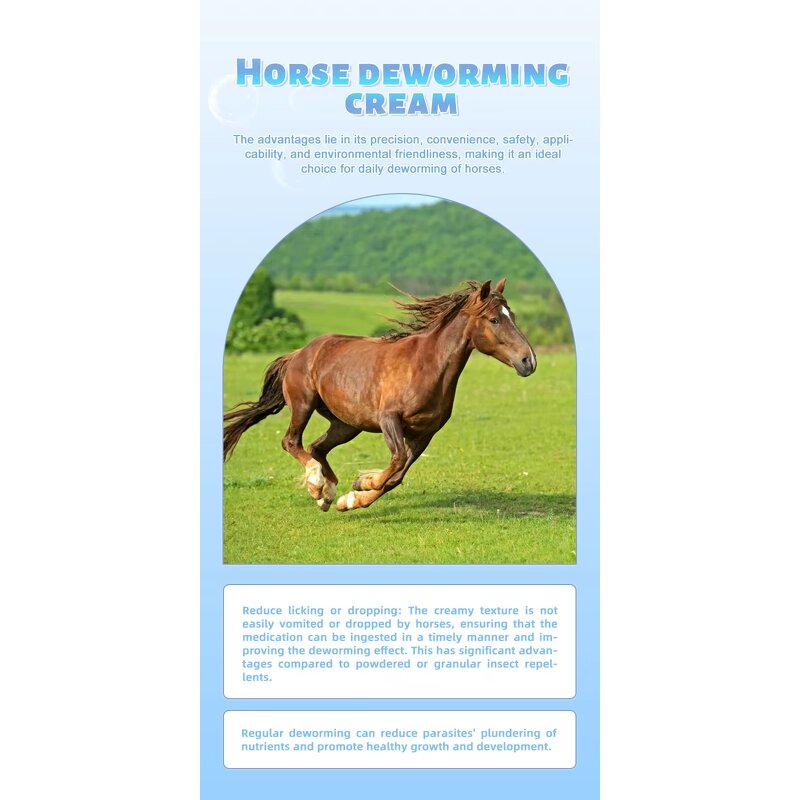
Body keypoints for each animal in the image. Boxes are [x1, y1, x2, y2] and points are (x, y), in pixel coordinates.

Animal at [223, 278, 536, 512]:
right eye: (494, 320)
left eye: (512, 316)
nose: (528, 361)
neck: (426, 365)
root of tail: (299, 352)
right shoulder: (389, 420)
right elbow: (396, 462)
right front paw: (363, 482)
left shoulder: (425, 433)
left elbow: (397, 476)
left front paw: (352, 497)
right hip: (303, 405)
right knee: (292, 442)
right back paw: (316, 483)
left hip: (347, 424)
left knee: (317, 447)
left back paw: (327, 494)